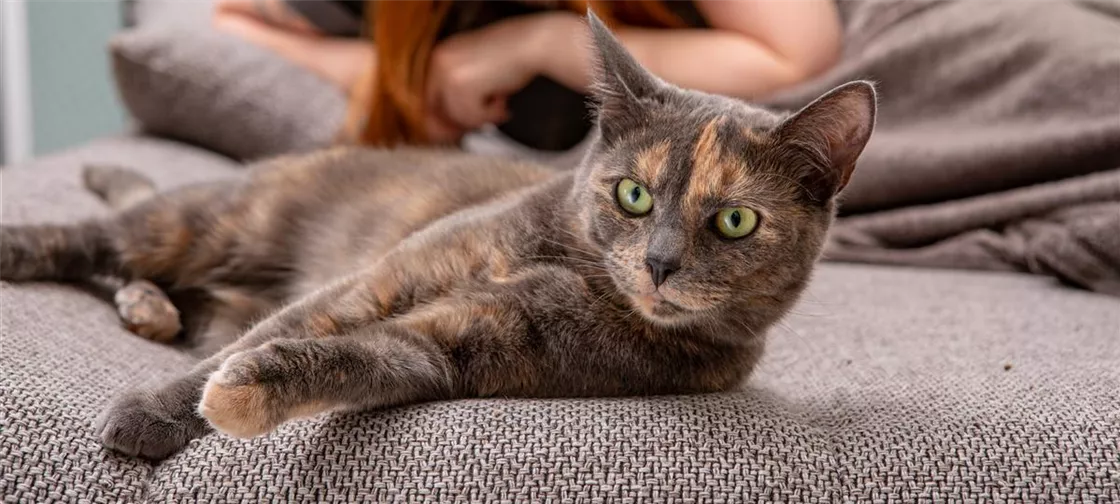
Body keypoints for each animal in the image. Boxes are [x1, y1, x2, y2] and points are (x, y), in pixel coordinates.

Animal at [0, 12, 873, 461]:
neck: (566, 271)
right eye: (632, 194)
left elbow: (358, 357)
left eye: (734, 220)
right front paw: (151, 412)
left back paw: (151, 310)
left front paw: (242, 396)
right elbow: (291, 325)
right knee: (98, 238)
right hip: (212, 220)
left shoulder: (464, 344)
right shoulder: (382, 277)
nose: (659, 262)